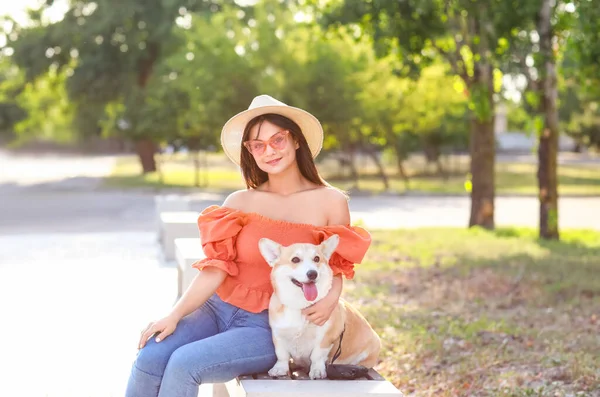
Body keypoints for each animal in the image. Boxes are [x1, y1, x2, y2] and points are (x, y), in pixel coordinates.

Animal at [256, 234, 380, 378]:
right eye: (295, 259)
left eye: (317, 259)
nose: (312, 273)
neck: (300, 305)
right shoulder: (278, 334)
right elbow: (281, 354)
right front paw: (280, 368)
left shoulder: (326, 337)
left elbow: (317, 355)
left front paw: (317, 371)